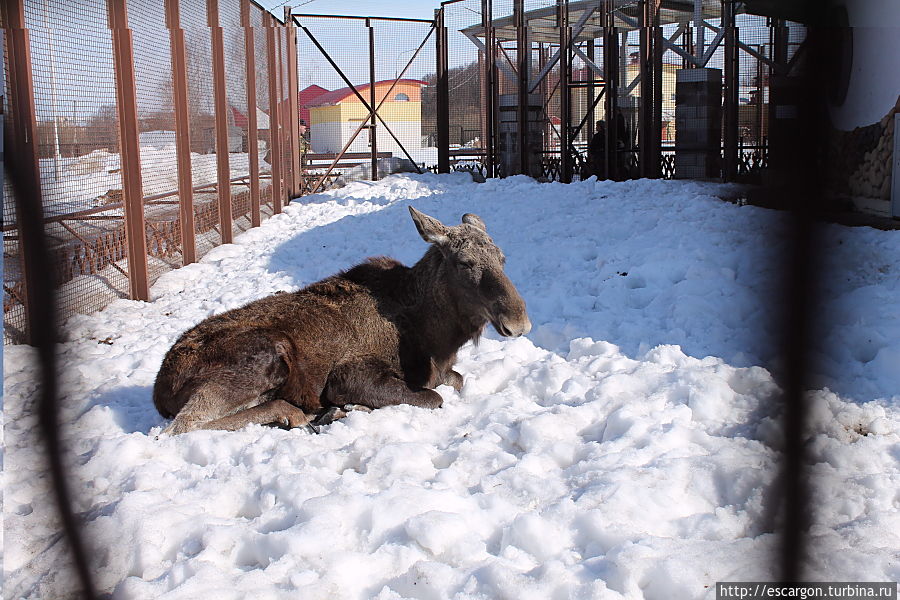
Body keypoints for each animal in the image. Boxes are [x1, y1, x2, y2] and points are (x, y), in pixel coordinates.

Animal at [152, 207, 532, 436]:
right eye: (465, 262)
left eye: (502, 258)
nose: (519, 323)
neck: (436, 337)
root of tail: (160, 389)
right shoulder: (347, 375)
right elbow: (432, 396)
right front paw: (351, 406)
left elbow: (457, 380)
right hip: (266, 353)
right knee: (181, 426)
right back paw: (297, 413)